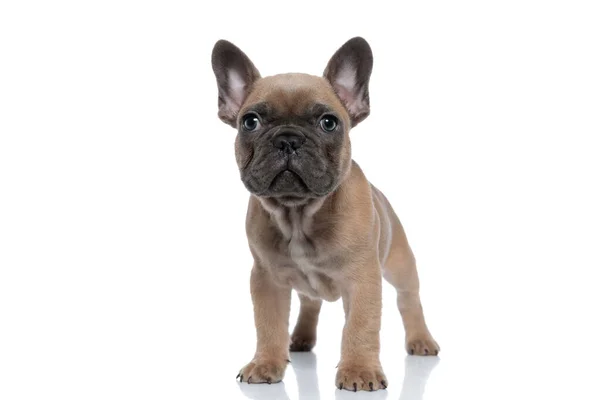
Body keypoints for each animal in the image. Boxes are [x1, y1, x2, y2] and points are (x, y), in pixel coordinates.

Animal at [213, 36, 438, 392]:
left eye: (328, 123)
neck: (298, 214)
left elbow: (361, 325)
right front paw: (266, 363)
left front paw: (359, 370)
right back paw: (300, 339)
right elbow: (268, 324)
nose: (287, 139)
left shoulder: (363, 280)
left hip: (400, 263)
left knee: (409, 298)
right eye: (250, 122)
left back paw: (421, 340)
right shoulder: (266, 280)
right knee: (310, 302)